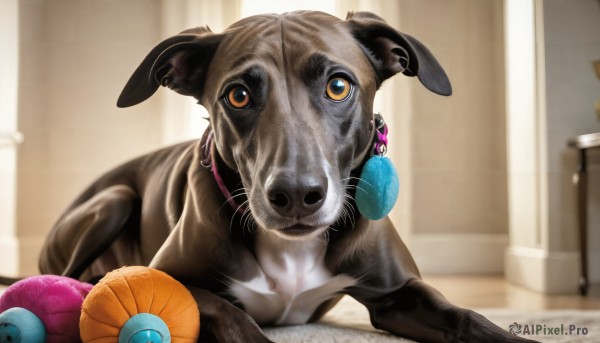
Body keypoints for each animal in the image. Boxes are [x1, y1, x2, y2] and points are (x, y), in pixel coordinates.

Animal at [41, 10, 540, 343]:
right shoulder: (169, 278)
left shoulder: (398, 293)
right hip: (112, 200)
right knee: (68, 276)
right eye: (238, 95)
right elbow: (233, 316)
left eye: (338, 86)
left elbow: (467, 317)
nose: (297, 195)